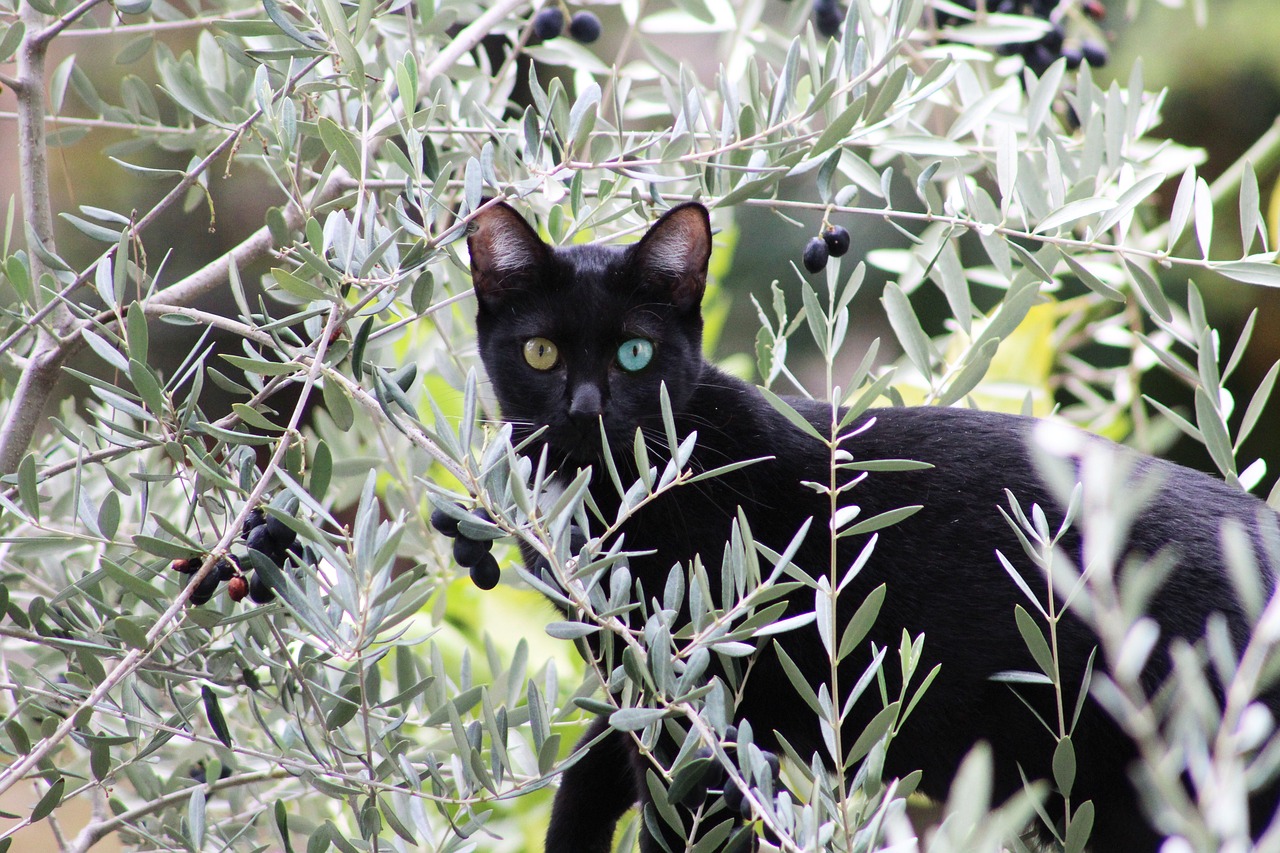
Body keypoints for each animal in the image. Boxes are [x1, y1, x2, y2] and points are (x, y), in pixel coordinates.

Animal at [460, 201, 1280, 850]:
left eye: (634, 352)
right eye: (541, 351)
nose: (586, 411)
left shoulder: (693, 694)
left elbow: (677, 818)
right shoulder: (638, 670)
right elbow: (589, 775)